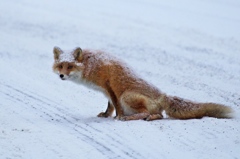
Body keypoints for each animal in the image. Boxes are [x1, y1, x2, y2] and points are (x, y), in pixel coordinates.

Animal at [51, 46, 233, 121]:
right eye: (60, 66)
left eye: (70, 66)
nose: (61, 75)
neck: (92, 65)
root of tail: (163, 96)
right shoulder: (106, 91)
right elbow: (109, 106)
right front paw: (107, 115)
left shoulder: (111, 88)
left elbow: (116, 106)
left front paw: (118, 117)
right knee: (159, 115)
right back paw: (151, 118)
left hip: (127, 96)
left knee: (149, 113)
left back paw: (133, 118)